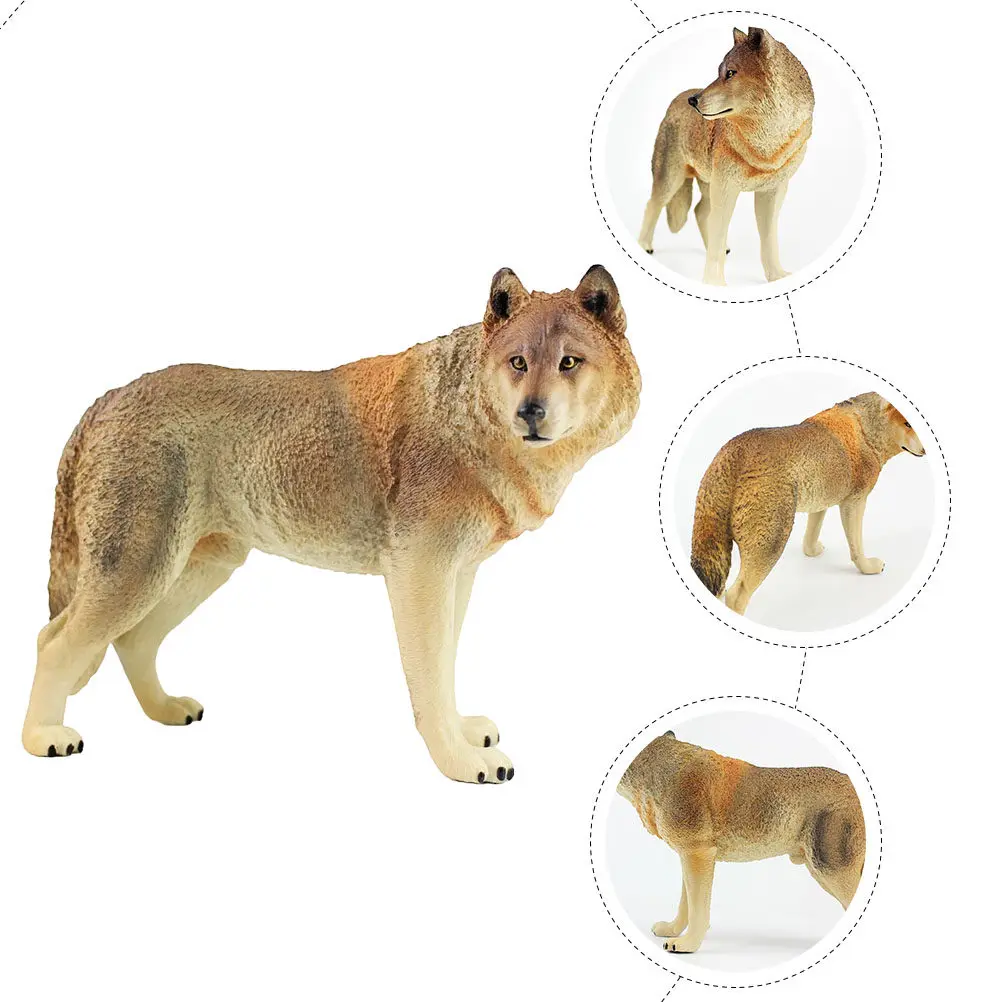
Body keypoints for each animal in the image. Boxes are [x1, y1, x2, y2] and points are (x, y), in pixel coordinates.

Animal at [23, 265, 641, 782]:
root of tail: (105, 399)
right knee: (53, 642)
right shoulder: (419, 574)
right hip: (140, 571)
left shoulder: (457, 576)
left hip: (200, 567)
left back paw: (166, 710)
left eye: (568, 362)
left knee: (131, 640)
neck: (469, 414)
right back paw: (42, 738)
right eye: (518, 363)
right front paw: (460, 762)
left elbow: (447, 667)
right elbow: (429, 681)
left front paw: (465, 734)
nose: (530, 413)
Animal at [617, 730, 865, 953]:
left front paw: (689, 944)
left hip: (830, 871)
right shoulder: (688, 855)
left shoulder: (698, 854)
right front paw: (673, 930)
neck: (657, 766)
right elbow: (685, 904)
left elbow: (698, 910)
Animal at [638, 27, 814, 286]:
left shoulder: (772, 192)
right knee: (653, 204)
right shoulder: (726, 188)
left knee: (700, 211)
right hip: (672, 180)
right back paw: (643, 246)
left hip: (707, 184)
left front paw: (776, 277)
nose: (694, 101)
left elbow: (768, 240)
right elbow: (718, 236)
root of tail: (678, 97)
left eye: (730, 73)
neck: (765, 146)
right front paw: (714, 283)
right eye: (719, 72)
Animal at [690, 392, 926, 616]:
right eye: (908, 424)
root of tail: (735, 453)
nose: (925, 450)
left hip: (716, 544)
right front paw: (868, 567)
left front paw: (812, 551)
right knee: (736, 596)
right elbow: (856, 546)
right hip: (771, 541)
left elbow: (812, 531)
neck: (868, 428)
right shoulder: (854, 502)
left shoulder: (820, 500)